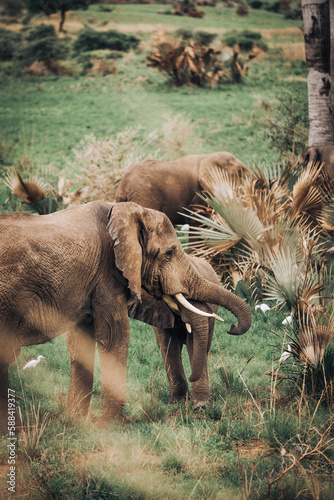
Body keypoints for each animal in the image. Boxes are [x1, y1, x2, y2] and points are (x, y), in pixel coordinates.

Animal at [0, 201, 250, 436]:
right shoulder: (106, 273)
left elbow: (81, 341)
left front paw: (75, 422)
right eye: (169, 253)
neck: (124, 210)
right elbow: (114, 335)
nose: (232, 327)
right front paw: (110, 426)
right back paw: (20, 431)